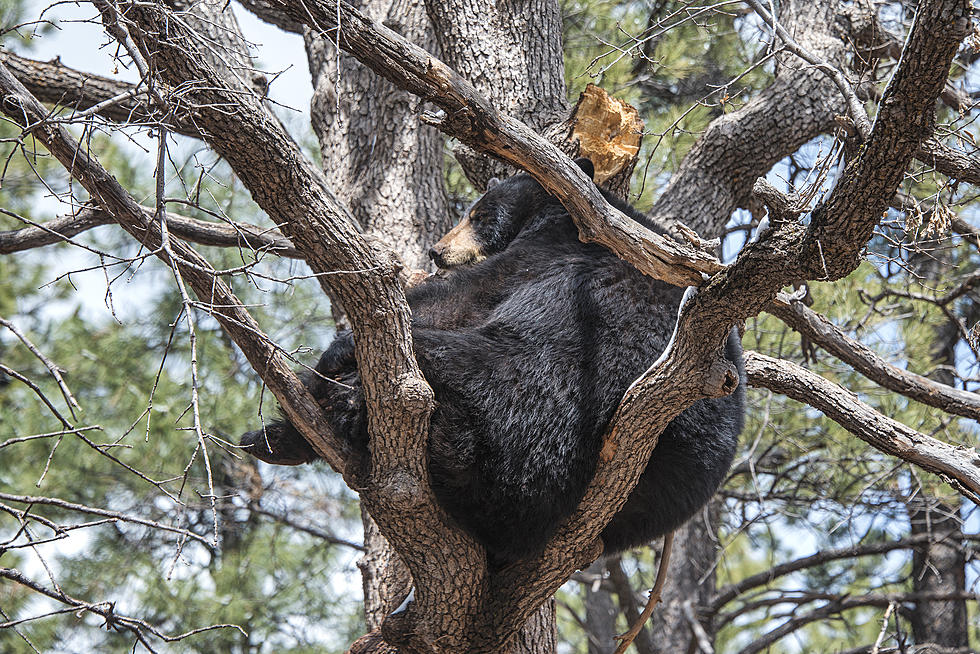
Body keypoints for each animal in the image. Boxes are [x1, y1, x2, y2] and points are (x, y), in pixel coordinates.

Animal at [241, 159, 748, 564]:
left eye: (480, 215)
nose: (436, 250)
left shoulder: (550, 251)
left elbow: (461, 297)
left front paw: (333, 356)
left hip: (517, 388)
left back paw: (331, 408)